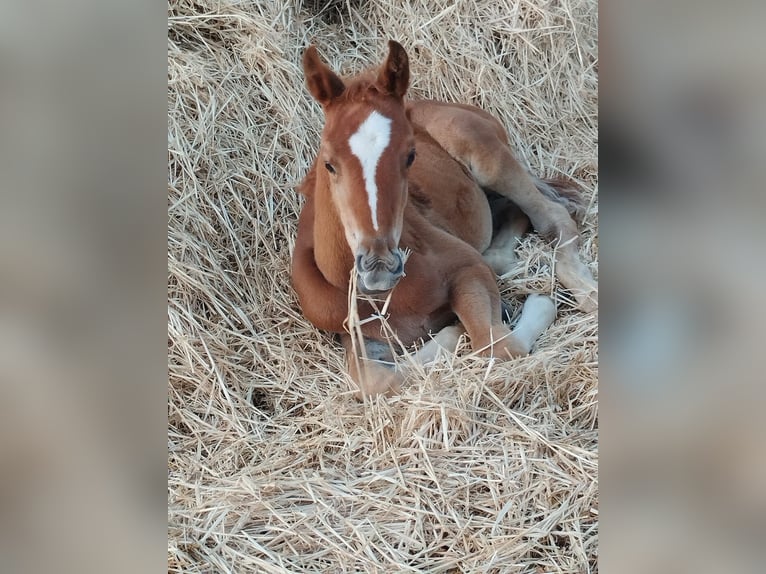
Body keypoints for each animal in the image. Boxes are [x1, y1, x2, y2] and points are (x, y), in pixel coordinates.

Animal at [292, 40, 597, 398]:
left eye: (411, 155)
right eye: (328, 162)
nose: (379, 266)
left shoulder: (468, 269)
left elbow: (497, 345)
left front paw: (531, 305)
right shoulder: (358, 333)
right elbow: (377, 383)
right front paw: (455, 331)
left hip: (484, 156)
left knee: (553, 215)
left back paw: (588, 292)